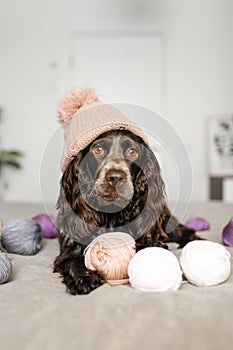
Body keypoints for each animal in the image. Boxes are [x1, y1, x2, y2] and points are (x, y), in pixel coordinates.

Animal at [53, 128, 201, 292]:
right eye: (98, 150)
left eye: (132, 152)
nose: (116, 177)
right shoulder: (70, 248)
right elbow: (73, 261)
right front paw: (84, 278)